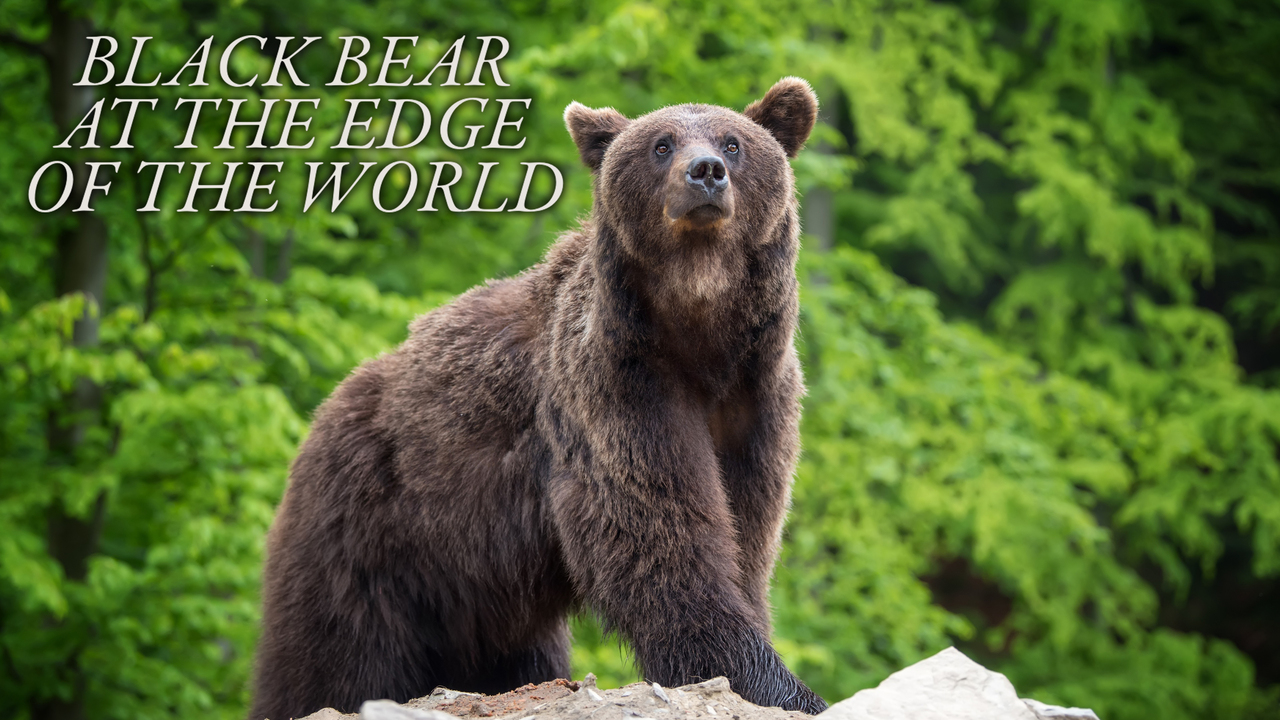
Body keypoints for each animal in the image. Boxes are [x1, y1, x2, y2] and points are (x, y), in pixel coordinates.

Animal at [248, 77, 825, 720]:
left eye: (733, 142)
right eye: (661, 143)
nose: (705, 172)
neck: (700, 336)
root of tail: (327, 411)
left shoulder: (755, 399)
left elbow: (745, 531)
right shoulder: (617, 388)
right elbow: (661, 532)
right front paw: (777, 683)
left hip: (477, 586)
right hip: (369, 533)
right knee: (335, 655)